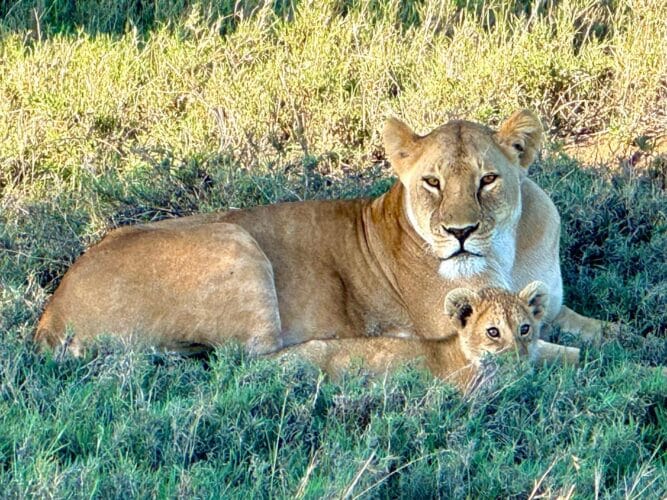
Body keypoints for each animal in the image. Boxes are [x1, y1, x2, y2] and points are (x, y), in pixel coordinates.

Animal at [35, 110, 610, 356]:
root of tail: (52, 312)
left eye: (487, 179)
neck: (505, 252)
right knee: (255, 360)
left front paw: (620, 334)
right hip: (236, 242)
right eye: (432, 182)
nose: (461, 231)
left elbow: (590, 327)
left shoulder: (551, 306)